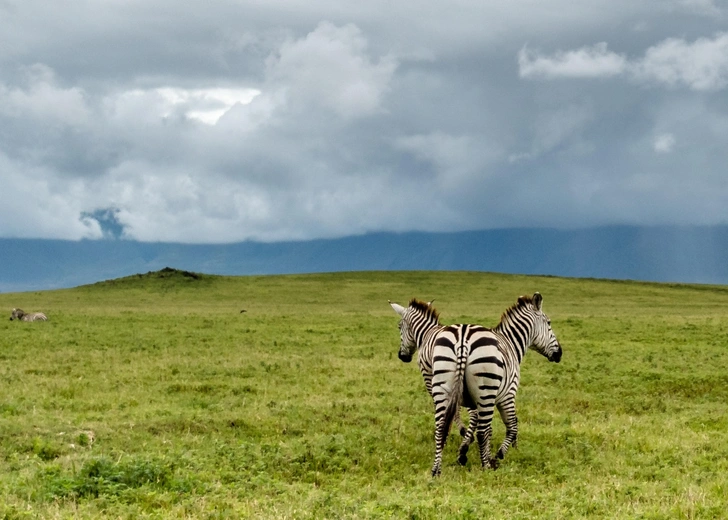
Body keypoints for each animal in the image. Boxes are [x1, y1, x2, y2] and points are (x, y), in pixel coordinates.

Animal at [390, 292, 560, 476]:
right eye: (549, 323)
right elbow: (511, 426)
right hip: (484, 389)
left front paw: (467, 450)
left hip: (448, 386)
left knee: (441, 428)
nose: (559, 353)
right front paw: (496, 456)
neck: (510, 343)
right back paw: (485, 466)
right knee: (481, 431)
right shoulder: (507, 394)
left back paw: (437, 470)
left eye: (399, 326)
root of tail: (463, 338)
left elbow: (484, 423)